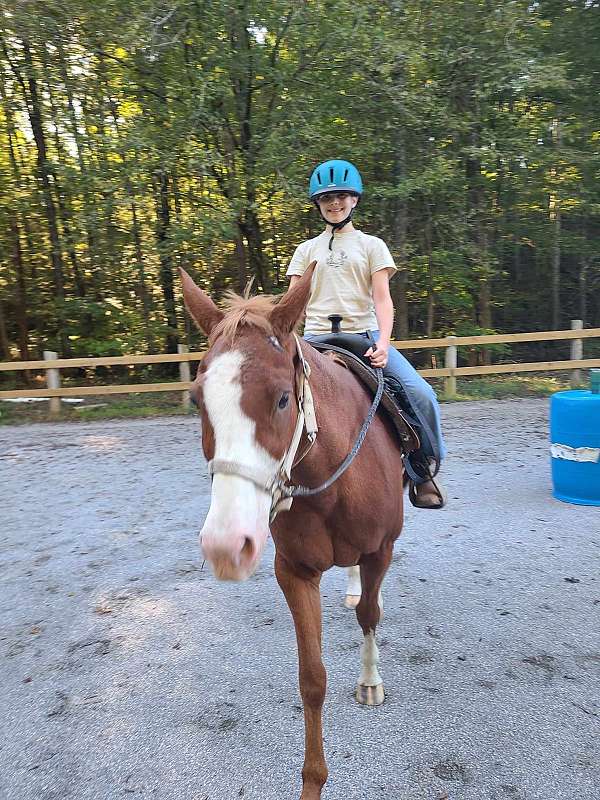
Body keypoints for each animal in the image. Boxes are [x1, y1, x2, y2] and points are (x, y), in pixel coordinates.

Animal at [180, 268, 406, 800]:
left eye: (283, 397)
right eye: (198, 400)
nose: (226, 547)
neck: (335, 482)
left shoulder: (381, 551)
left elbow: (371, 615)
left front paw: (370, 681)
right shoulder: (295, 572)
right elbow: (311, 679)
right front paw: (312, 782)